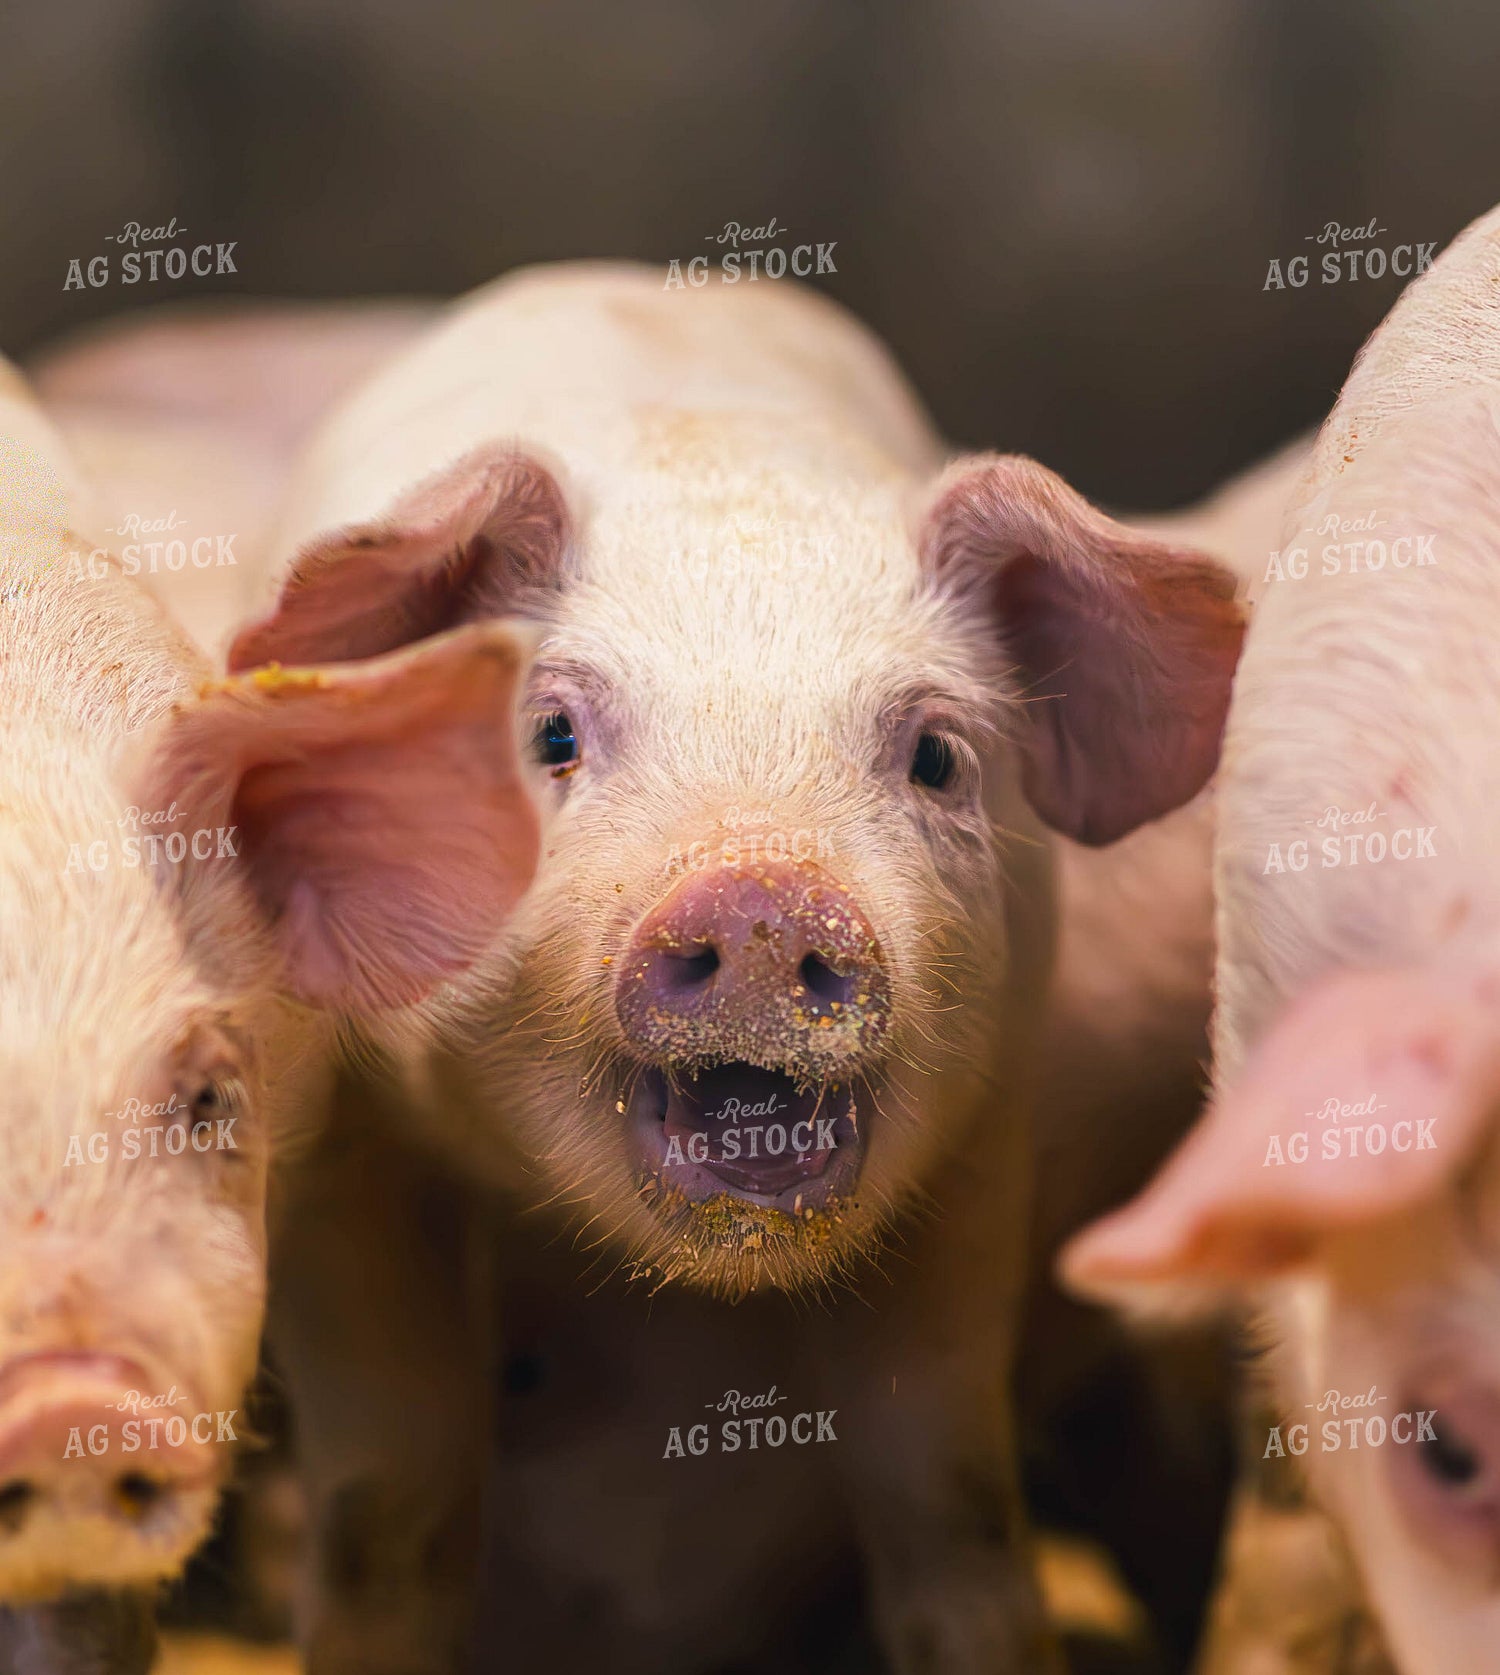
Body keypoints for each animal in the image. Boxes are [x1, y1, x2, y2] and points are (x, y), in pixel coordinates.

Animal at [226, 261, 1246, 1673]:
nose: (764, 895)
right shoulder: (346, 1145)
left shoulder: (985, 1135)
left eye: (936, 755)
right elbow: (396, 1496)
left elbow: (944, 1488)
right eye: (550, 735)